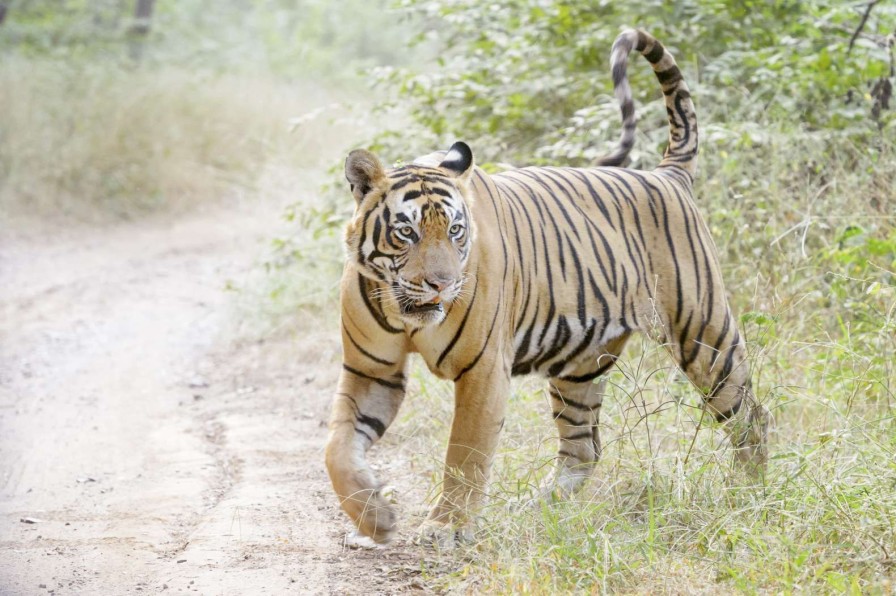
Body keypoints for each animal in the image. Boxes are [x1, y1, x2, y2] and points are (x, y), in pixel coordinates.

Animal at [326, 30, 768, 548]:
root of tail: (665, 173)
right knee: (584, 447)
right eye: (407, 232)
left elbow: (464, 453)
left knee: (751, 415)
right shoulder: (371, 369)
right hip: (580, 364)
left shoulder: (483, 371)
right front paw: (373, 518)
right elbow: (337, 445)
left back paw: (751, 495)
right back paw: (535, 509)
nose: (442, 284)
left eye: (455, 231)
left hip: (703, 335)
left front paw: (446, 526)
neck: (403, 311)